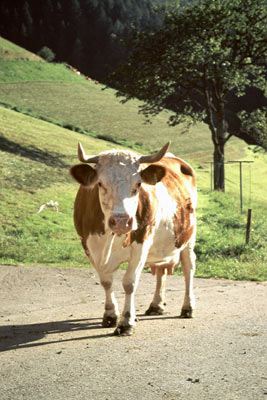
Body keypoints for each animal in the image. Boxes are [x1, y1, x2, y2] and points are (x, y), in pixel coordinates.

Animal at [70, 142, 198, 336]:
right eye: (100, 183)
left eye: (138, 184)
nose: (121, 221)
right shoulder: (89, 247)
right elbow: (106, 282)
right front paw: (110, 315)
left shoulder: (141, 244)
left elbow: (129, 283)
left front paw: (126, 322)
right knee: (160, 270)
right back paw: (156, 305)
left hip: (188, 237)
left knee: (188, 268)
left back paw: (188, 307)